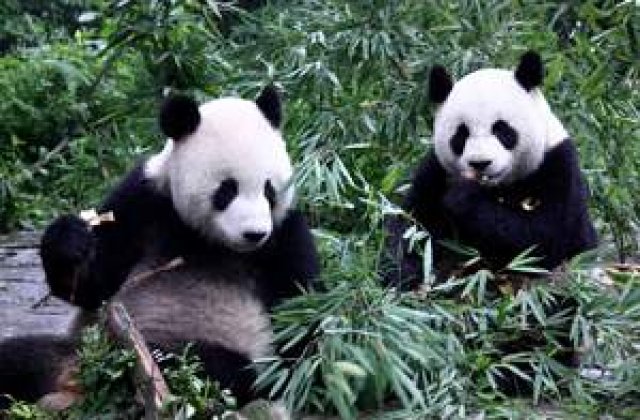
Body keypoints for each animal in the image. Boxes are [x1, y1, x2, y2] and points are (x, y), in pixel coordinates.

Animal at [0, 86, 319, 411]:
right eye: (227, 190)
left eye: (269, 190)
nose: (254, 233)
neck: (208, 239)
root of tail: (75, 381)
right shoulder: (144, 200)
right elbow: (94, 284)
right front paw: (70, 241)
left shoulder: (285, 233)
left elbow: (299, 310)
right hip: (76, 347)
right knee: (21, 357)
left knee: (208, 366)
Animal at [384, 51, 597, 289]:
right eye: (461, 134)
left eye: (502, 129)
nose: (480, 163)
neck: (496, 187)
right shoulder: (436, 171)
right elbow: (412, 227)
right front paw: (403, 275)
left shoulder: (558, 166)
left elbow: (544, 237)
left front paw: (463, 196)